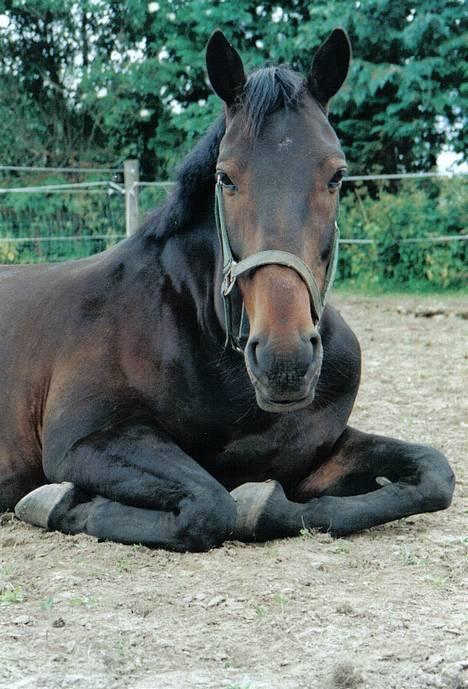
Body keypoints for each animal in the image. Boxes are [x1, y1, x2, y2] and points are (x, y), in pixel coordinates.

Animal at [0, 29, 454, 552]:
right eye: (226, 177)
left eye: (337, 175)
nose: (284, 362)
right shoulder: (84, 441)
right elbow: (210, 504)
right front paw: (65, 503)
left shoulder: (317, 452)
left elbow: (433, 473)